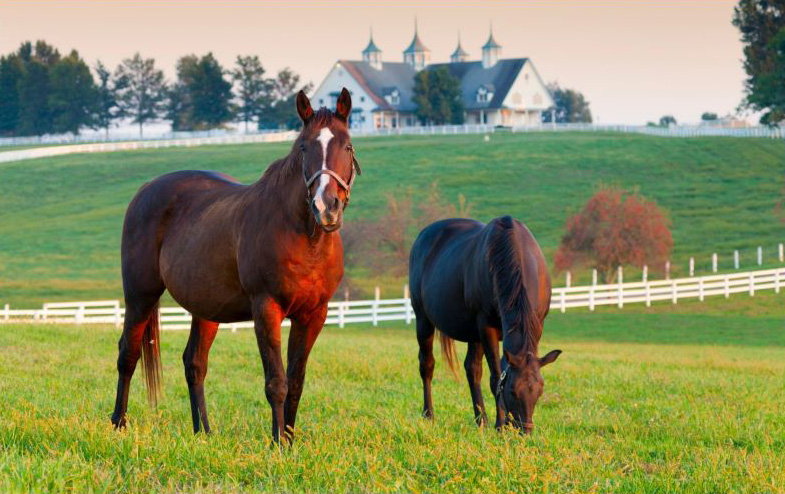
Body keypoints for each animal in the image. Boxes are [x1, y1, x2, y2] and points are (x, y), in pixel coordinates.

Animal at [111, 87, 362, 442]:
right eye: (304, 147)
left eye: (347, 146)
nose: (327, 207)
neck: (303, 237)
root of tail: (146, 190)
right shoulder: (266, 308)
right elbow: (276, 382)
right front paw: (278, 444)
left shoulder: (314, 315)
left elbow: (296, 383)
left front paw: (290, 440)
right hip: (140, 296)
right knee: (128, 354)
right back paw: (118, 422)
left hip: (205, 308)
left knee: (194, 363)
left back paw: (203, 432)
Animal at [408, 216, 560, 432]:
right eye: (512, 391)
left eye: (539, 391)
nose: (525, 430)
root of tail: (423, 235)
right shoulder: (486, 328)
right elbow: (496, 377)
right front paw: (500, 425)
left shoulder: (535, 326)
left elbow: (499, 370)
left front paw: (504, 423)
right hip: (423, 320)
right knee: (427, 365)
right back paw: (429, 414)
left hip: (473, 334)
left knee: (472, 370)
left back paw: (481, 420)